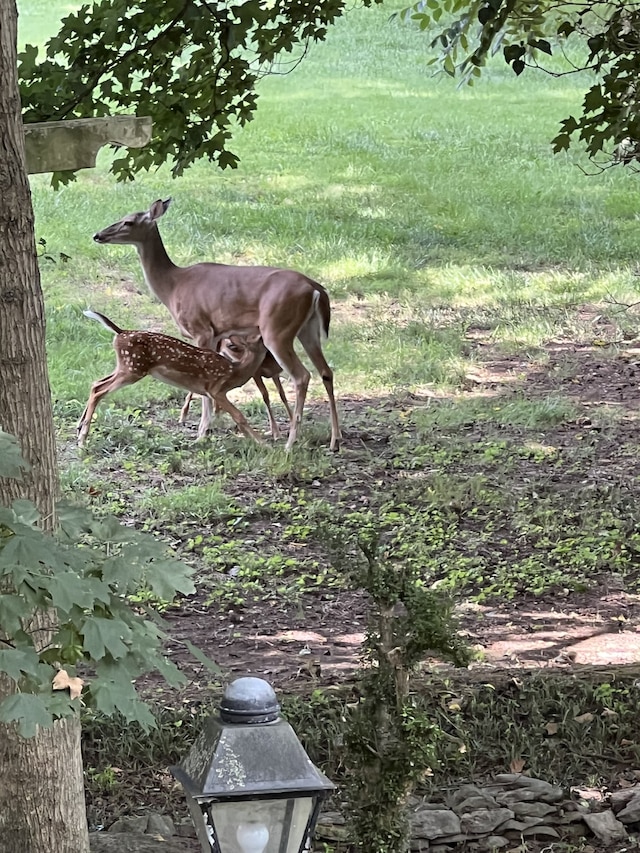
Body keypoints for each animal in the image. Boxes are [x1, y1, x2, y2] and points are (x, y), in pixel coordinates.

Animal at [78, 312, 268, 446]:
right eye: (260, 339)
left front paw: (199, 440)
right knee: (99, 390)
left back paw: (79, 428)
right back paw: (82, 439)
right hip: (133, 368)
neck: (235, 371)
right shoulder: (217, 389)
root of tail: (120, 333)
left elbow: (207, 417)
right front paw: (262, 443)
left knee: (96, 383)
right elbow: (239, 415)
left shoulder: (206, 391)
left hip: (125, 367)